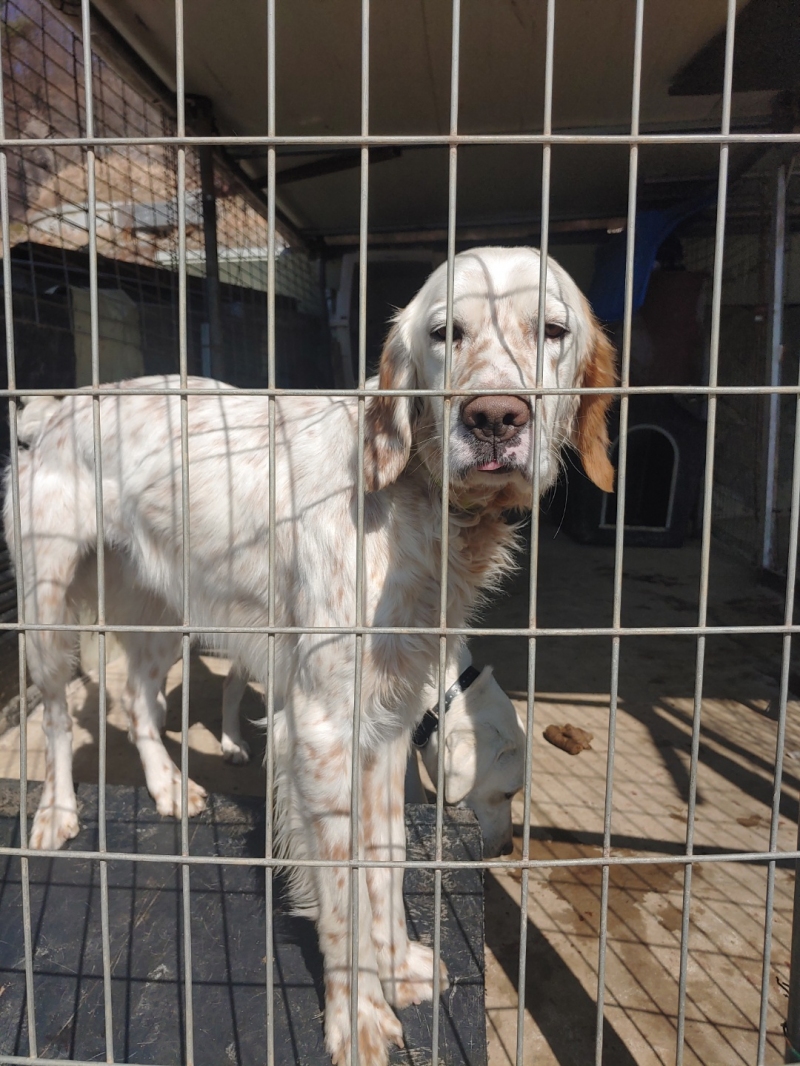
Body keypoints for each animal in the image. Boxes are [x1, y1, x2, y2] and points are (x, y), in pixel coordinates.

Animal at [6, 246, 614, 1065]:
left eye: (551, 330)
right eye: (445, 333)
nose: (494, 419)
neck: (410, 501)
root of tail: (58, 404)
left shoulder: (388, 724)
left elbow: (387, 856)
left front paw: (398, 966)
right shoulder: (322, 729)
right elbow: (344, 883)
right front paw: (357, 1015)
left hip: (162, 609)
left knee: (135, 701)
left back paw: (167, 788)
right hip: (45, 610)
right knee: (53, 712)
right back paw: (57, 814)